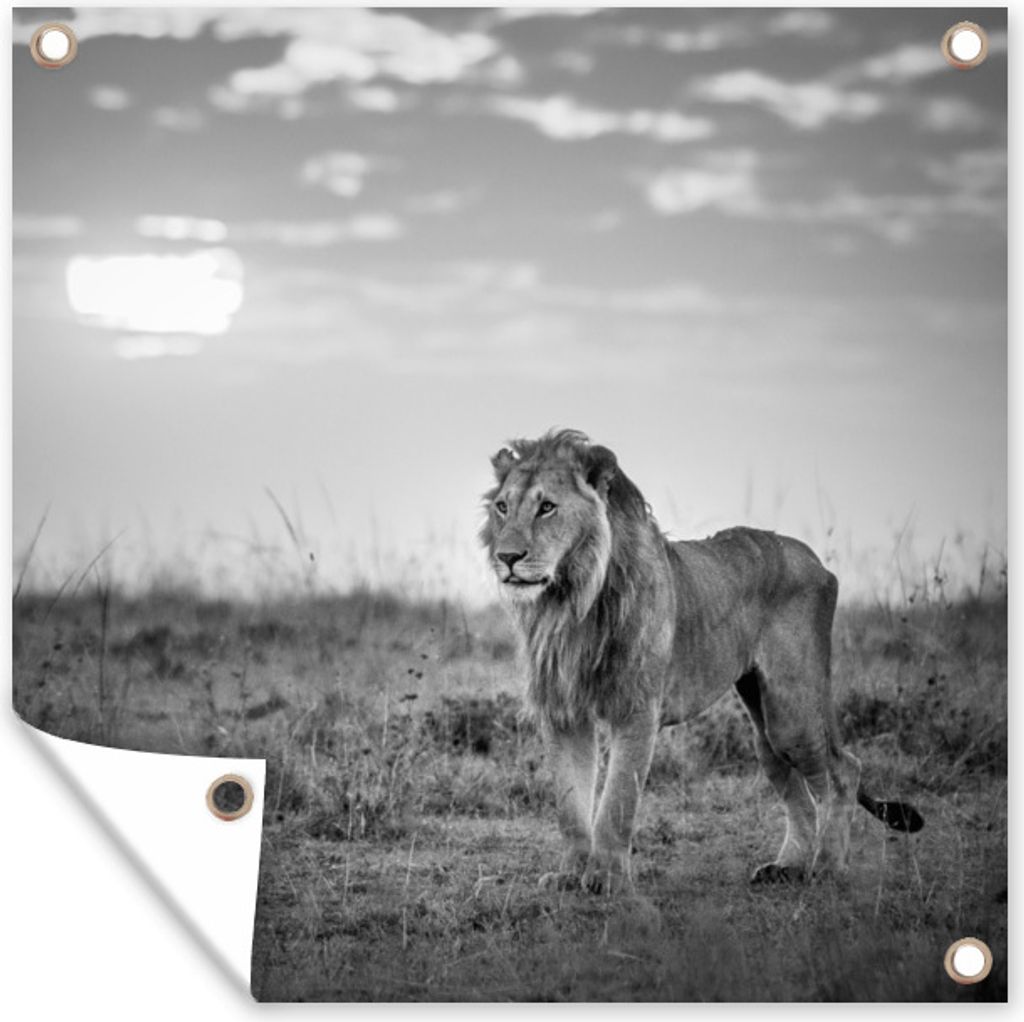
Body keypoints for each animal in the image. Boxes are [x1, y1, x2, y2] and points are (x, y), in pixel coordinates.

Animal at [481, 429, 923, 894]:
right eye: (503, 507)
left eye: (547, 507)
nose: (506, 558)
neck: (571, 600)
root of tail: (816, 561)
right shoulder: (564, 712)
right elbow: (570, 804)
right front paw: (570, 875)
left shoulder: (637, 709)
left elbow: (617, 802)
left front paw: (605, 879)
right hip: (764, 727)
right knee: (799, 793)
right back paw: (786, 868)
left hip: (793, 714)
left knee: (844, 771)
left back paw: (827, 869)